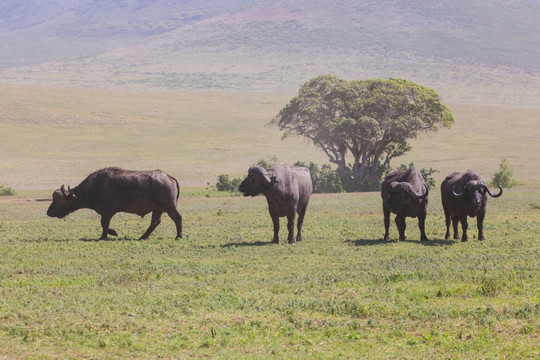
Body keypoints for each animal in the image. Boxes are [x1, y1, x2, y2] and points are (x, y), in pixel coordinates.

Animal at [46, 167, 181, 240]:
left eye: (59, 200)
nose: (48, 212)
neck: (95, 188)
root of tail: (168, 177)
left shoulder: (107, 212)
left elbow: (104, 224)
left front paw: (106, 235)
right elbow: (104, 224)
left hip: (169, 207)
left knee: (177, 218)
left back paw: (178, 236)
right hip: (157, 209)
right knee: (155, 222)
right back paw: (143, 236)